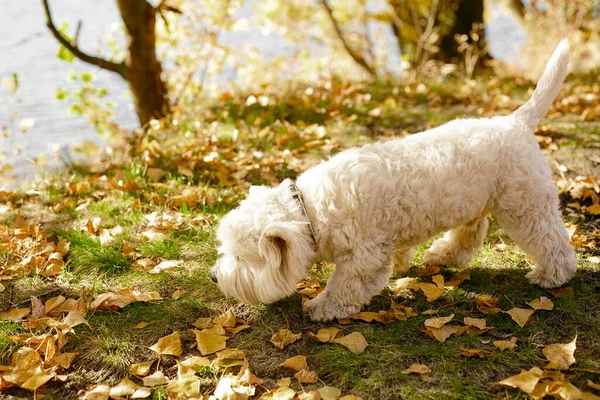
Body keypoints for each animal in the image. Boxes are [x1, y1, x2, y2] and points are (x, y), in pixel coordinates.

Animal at [211, 39, 576, 322]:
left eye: (241, 257)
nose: (214, 276)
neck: (311, 212)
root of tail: (515, 122)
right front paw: (403, 264)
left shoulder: (363, 258)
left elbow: (344, 286)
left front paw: (322, 307)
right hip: (472, 200)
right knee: (469, 235)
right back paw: (443, 256)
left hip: (526, 207)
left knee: (551, 241)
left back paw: (551, 275)